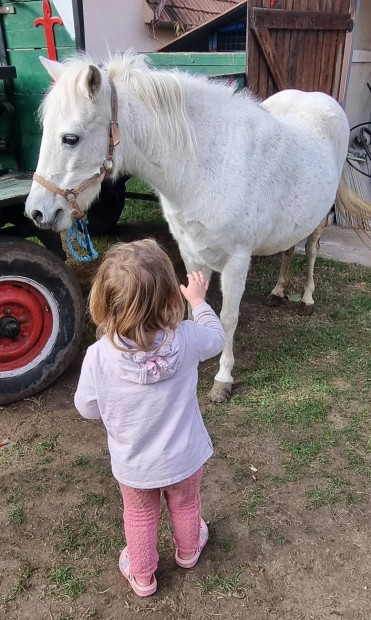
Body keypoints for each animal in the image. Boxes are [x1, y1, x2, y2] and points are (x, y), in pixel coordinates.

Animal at [25, 52, 370, 402]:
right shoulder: (189, 251)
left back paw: (306, 301)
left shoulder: (236, 261)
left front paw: (223, 378)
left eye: (70, 138)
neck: (206, 166)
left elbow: (229, 318)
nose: (36, 212)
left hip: (320, 217)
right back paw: (278, 292)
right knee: (288, 250)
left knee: (311, 251)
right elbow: (193, 306)